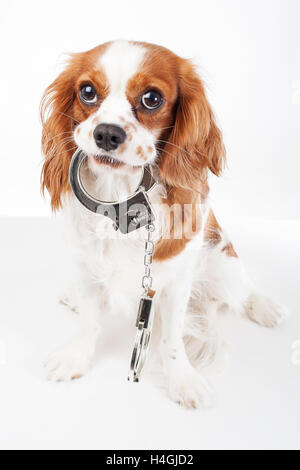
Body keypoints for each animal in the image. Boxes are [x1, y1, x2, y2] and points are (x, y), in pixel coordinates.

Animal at [41, 40, 288, 408]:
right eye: (87, 92)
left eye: (151, 98)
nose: (107, 133)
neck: (120, 194)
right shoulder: (85, 264)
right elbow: (88, 321)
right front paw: (76, 358)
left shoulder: (175, 282)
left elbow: (173, 339)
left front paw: (182, 380)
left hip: (222, 259)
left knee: (240, 288)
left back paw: (264, 307)